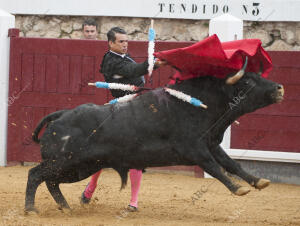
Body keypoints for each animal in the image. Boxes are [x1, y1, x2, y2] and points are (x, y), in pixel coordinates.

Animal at [24, 69, 282, 213]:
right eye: (247, 82)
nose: (279, 87)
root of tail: (60, 114)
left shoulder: (211, 144)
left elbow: (231, 163)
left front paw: (257, 181)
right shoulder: (194, 149)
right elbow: (215, 168)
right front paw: (238, 188)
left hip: (79, 167)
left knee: (51, 182)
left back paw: (65, 208)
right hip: (64, 162)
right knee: (36, 175)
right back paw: (31, 209)